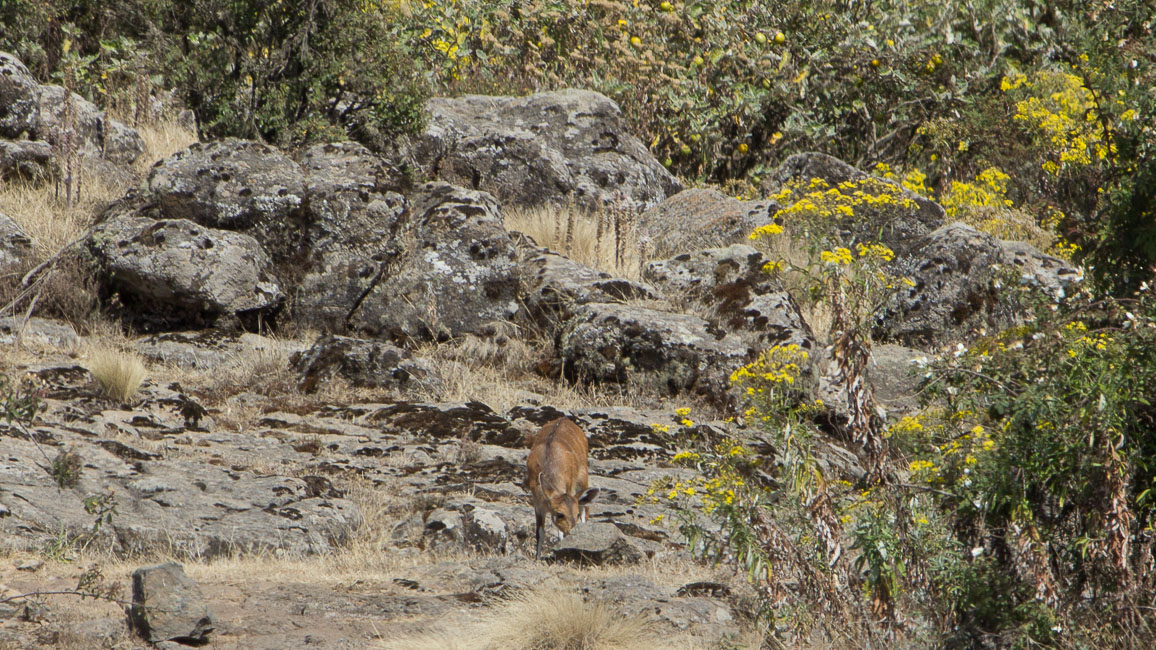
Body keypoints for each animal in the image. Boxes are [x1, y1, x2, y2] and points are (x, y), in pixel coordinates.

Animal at [524, 414, 596, 557]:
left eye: (575, 515)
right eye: (559, 514)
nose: (571, 533)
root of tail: (564, 418)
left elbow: (559, 532)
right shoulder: (538, 505)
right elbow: (540, 533)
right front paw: (537, 558)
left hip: (583, 477)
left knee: (585, 507)